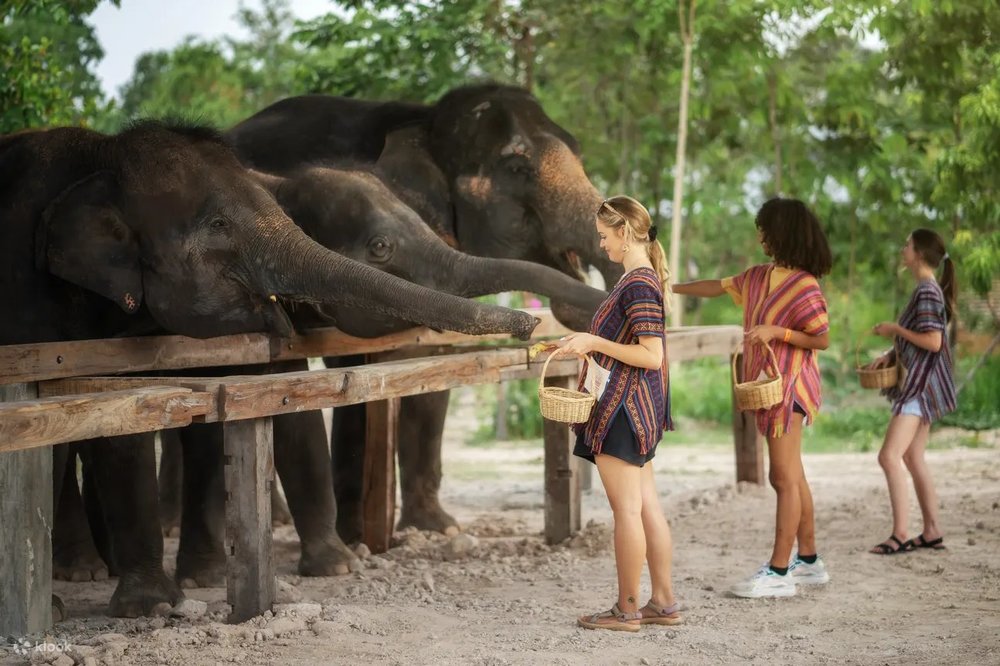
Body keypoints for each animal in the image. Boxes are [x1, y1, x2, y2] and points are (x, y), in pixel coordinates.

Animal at [0, 120, 538, 617]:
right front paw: (151, 607)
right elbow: (108, 426)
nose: (532, 324)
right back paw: (77, 578)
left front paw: (332, 566)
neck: (101, 160)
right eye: (381, 247)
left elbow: (279, 412)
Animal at [227, 83, 619, 541]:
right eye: (517, 167)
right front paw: (357, 540)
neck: (427, 119)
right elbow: (355, 369)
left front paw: (439, 528)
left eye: (579, 150)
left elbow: (431, 370)